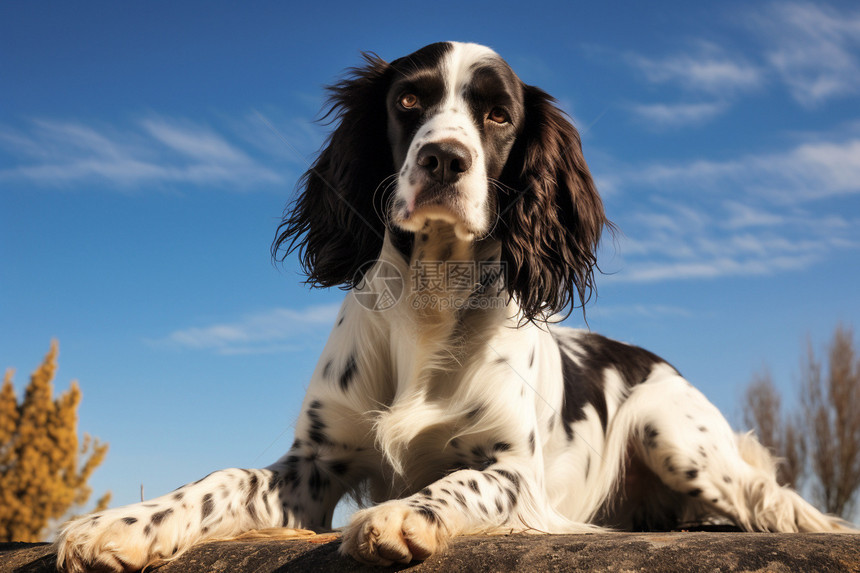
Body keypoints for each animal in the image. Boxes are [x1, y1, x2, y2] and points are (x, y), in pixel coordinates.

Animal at [55, 41, 852, 572]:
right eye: (408, 101)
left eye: (498, 115)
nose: (445, 158)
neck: (430, 303)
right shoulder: (314, 463)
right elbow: (220, 479)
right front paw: (122, 523)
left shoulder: (513, 471)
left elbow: (458, 481)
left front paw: (405, 514)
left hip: (674, 432)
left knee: (768, 500)